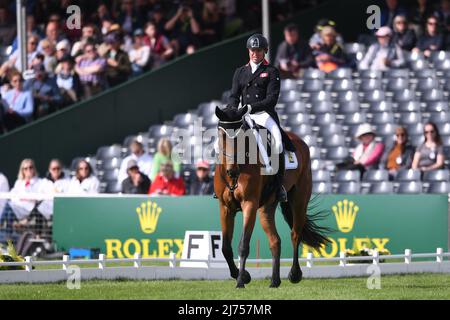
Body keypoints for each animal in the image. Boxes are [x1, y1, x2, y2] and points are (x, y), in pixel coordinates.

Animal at [213, 106, 328, 288]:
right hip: (266, 207)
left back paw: (294, 274)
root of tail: (299, 141)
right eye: (222, 136)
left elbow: (243, 245)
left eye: (241, 136)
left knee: (295, 234)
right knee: (275, 240)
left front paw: (241, 281)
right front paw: (242, 275)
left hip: (299, 200)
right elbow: (225, 248)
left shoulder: (249, 204)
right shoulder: (225, 207)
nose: (232, 171)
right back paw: (275, 281)